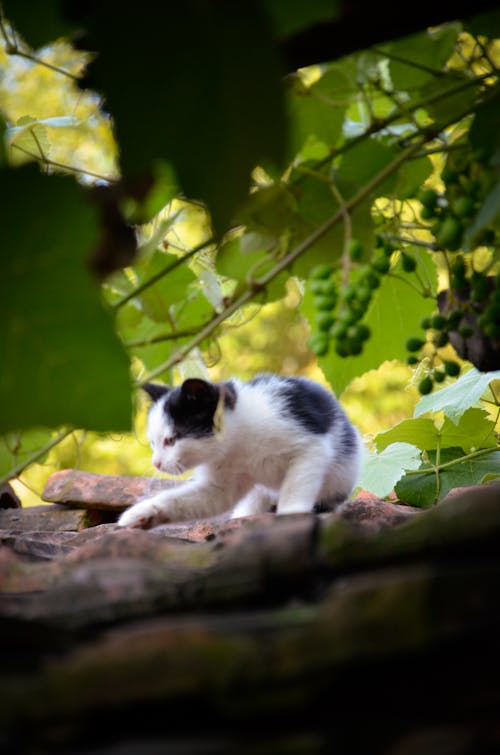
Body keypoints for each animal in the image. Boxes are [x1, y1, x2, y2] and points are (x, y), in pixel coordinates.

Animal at [120, 376, 364, 528]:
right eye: (153, 443)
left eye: (171, 440)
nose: (156, 463)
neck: (238, 444)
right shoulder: (222, 484)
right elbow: (198, 499)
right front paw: (140, 514)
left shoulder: (311, 448)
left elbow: (297, 486)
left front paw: (290, 516)